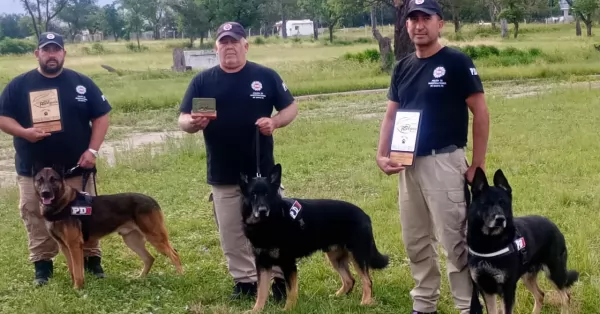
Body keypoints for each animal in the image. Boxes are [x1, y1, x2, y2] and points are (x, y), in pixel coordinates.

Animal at [32, 164, 182, 290]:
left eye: (53, 180)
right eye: (40, 180)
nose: (45, 193)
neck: (63, 205)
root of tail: (151, 199)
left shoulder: (74, 246)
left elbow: (78, 270)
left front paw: (78, 289)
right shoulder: (65, 247)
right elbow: (73, 270)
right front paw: (75, 286)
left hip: (155, 237)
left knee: (174, 254)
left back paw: (181, 277)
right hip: (132, 241)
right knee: (150, 258)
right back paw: (140, 279)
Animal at [239, 163, 390, 312]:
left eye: (267, 194)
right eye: (253, 194)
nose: (262, 211)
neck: (267, 223)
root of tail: (365, 215)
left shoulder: (288, 263)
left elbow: (291, 291)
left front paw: (288, 309)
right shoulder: (262, 263)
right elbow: (261, 291)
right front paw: (256, 310)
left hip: (357, 255)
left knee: (367, 280)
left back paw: (365, 302)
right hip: (335, 256)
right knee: (349, 280)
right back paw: (338, 297)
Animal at [466, 168, 580, 314]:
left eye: (503, 203)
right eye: (485, 204)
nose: (500, 219)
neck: (490, 242)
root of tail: (553, 225)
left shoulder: (508, 289)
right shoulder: (486, 289)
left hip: (554, 272)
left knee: (566, 297)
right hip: (528, 277)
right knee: (540, 295)